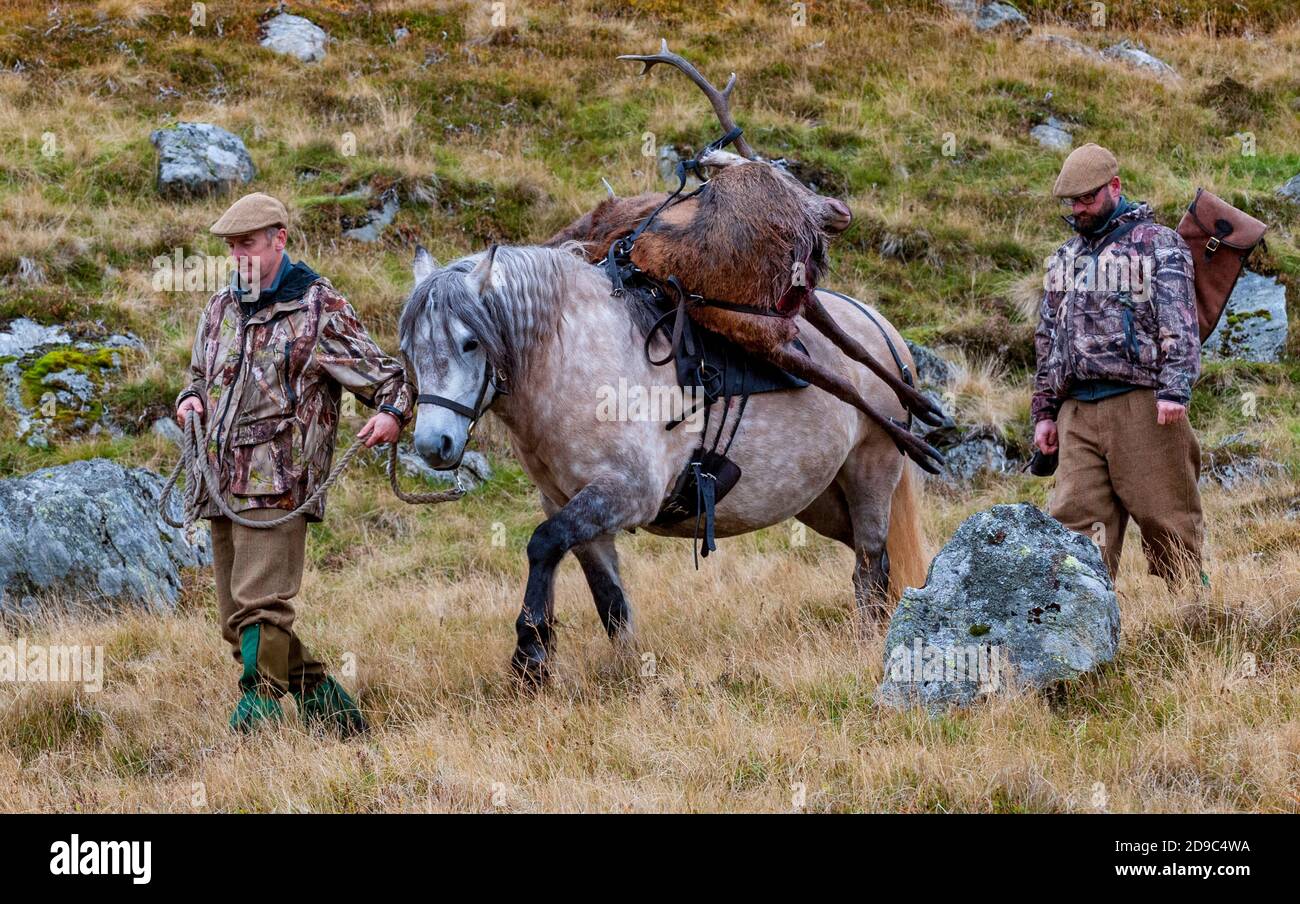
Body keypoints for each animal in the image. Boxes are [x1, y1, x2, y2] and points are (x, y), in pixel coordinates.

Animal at [398, 242, 928, 683]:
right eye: (408, 349)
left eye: (470, 342)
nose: (433, 444)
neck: (567, 361)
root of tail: (881, 328)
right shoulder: (572, 506)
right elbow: (608, 598)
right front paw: (623, 668)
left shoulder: (627, 493)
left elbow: (542, 545)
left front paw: (530, 656)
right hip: (823, 501)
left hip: (870, 471)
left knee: (871, 565)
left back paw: (868, 641)